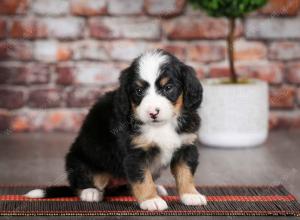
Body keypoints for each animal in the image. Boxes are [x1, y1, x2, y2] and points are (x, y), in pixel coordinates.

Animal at [26, 49, 206, 211]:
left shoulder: (186, 146)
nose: (152, 112)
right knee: (79, 183)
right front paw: (151, 200)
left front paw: (191, 195)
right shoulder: (135, 153)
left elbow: (185, 173)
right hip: (80, 160)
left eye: (168, 87)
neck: (161, 126)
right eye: (138, 91)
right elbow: (142, 178)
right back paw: (90, 192)